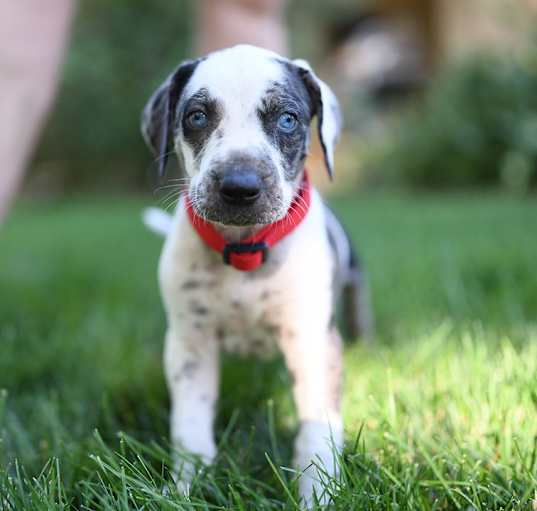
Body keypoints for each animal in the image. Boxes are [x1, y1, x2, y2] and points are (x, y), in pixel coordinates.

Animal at [140, 45, 370, 508]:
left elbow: (316, 428)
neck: (245, 250)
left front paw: (317, 492)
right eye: (196, 116)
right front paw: (186, 485)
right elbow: (191, 422)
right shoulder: (190, 344)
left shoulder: (313, 342)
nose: (239, 186)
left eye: (288, 119)